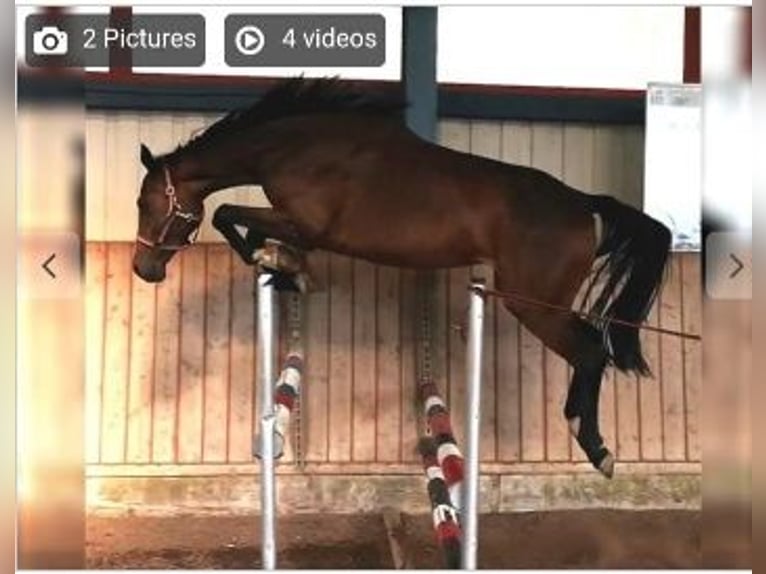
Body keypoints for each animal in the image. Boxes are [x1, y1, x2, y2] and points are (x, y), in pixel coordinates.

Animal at [132, 77, 672, 478]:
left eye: (145, 203)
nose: (144, 269)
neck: (297, 147)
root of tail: (584, 205)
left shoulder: (306, 227)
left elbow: (227, 214)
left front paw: (284, 268)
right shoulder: (295, 225)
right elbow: (239, 222)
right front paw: (283, 268)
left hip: (533, 303)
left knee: (591, 353)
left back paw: (597, 448)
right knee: (593, 352)